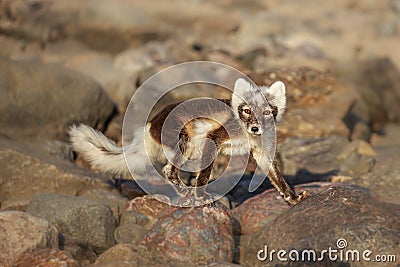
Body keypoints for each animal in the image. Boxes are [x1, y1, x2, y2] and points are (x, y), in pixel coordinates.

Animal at [69, 78, 310, 206]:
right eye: (247, 110)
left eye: (267, 111)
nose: (255, 128)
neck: (246, 134)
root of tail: (150, 124)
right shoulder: (214, 138)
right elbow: (203, 175)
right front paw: (201, 196)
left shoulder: (262, 152)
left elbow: (277, 178)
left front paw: (293, 198)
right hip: (184, 144)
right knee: (168, 171)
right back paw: (186, 193)